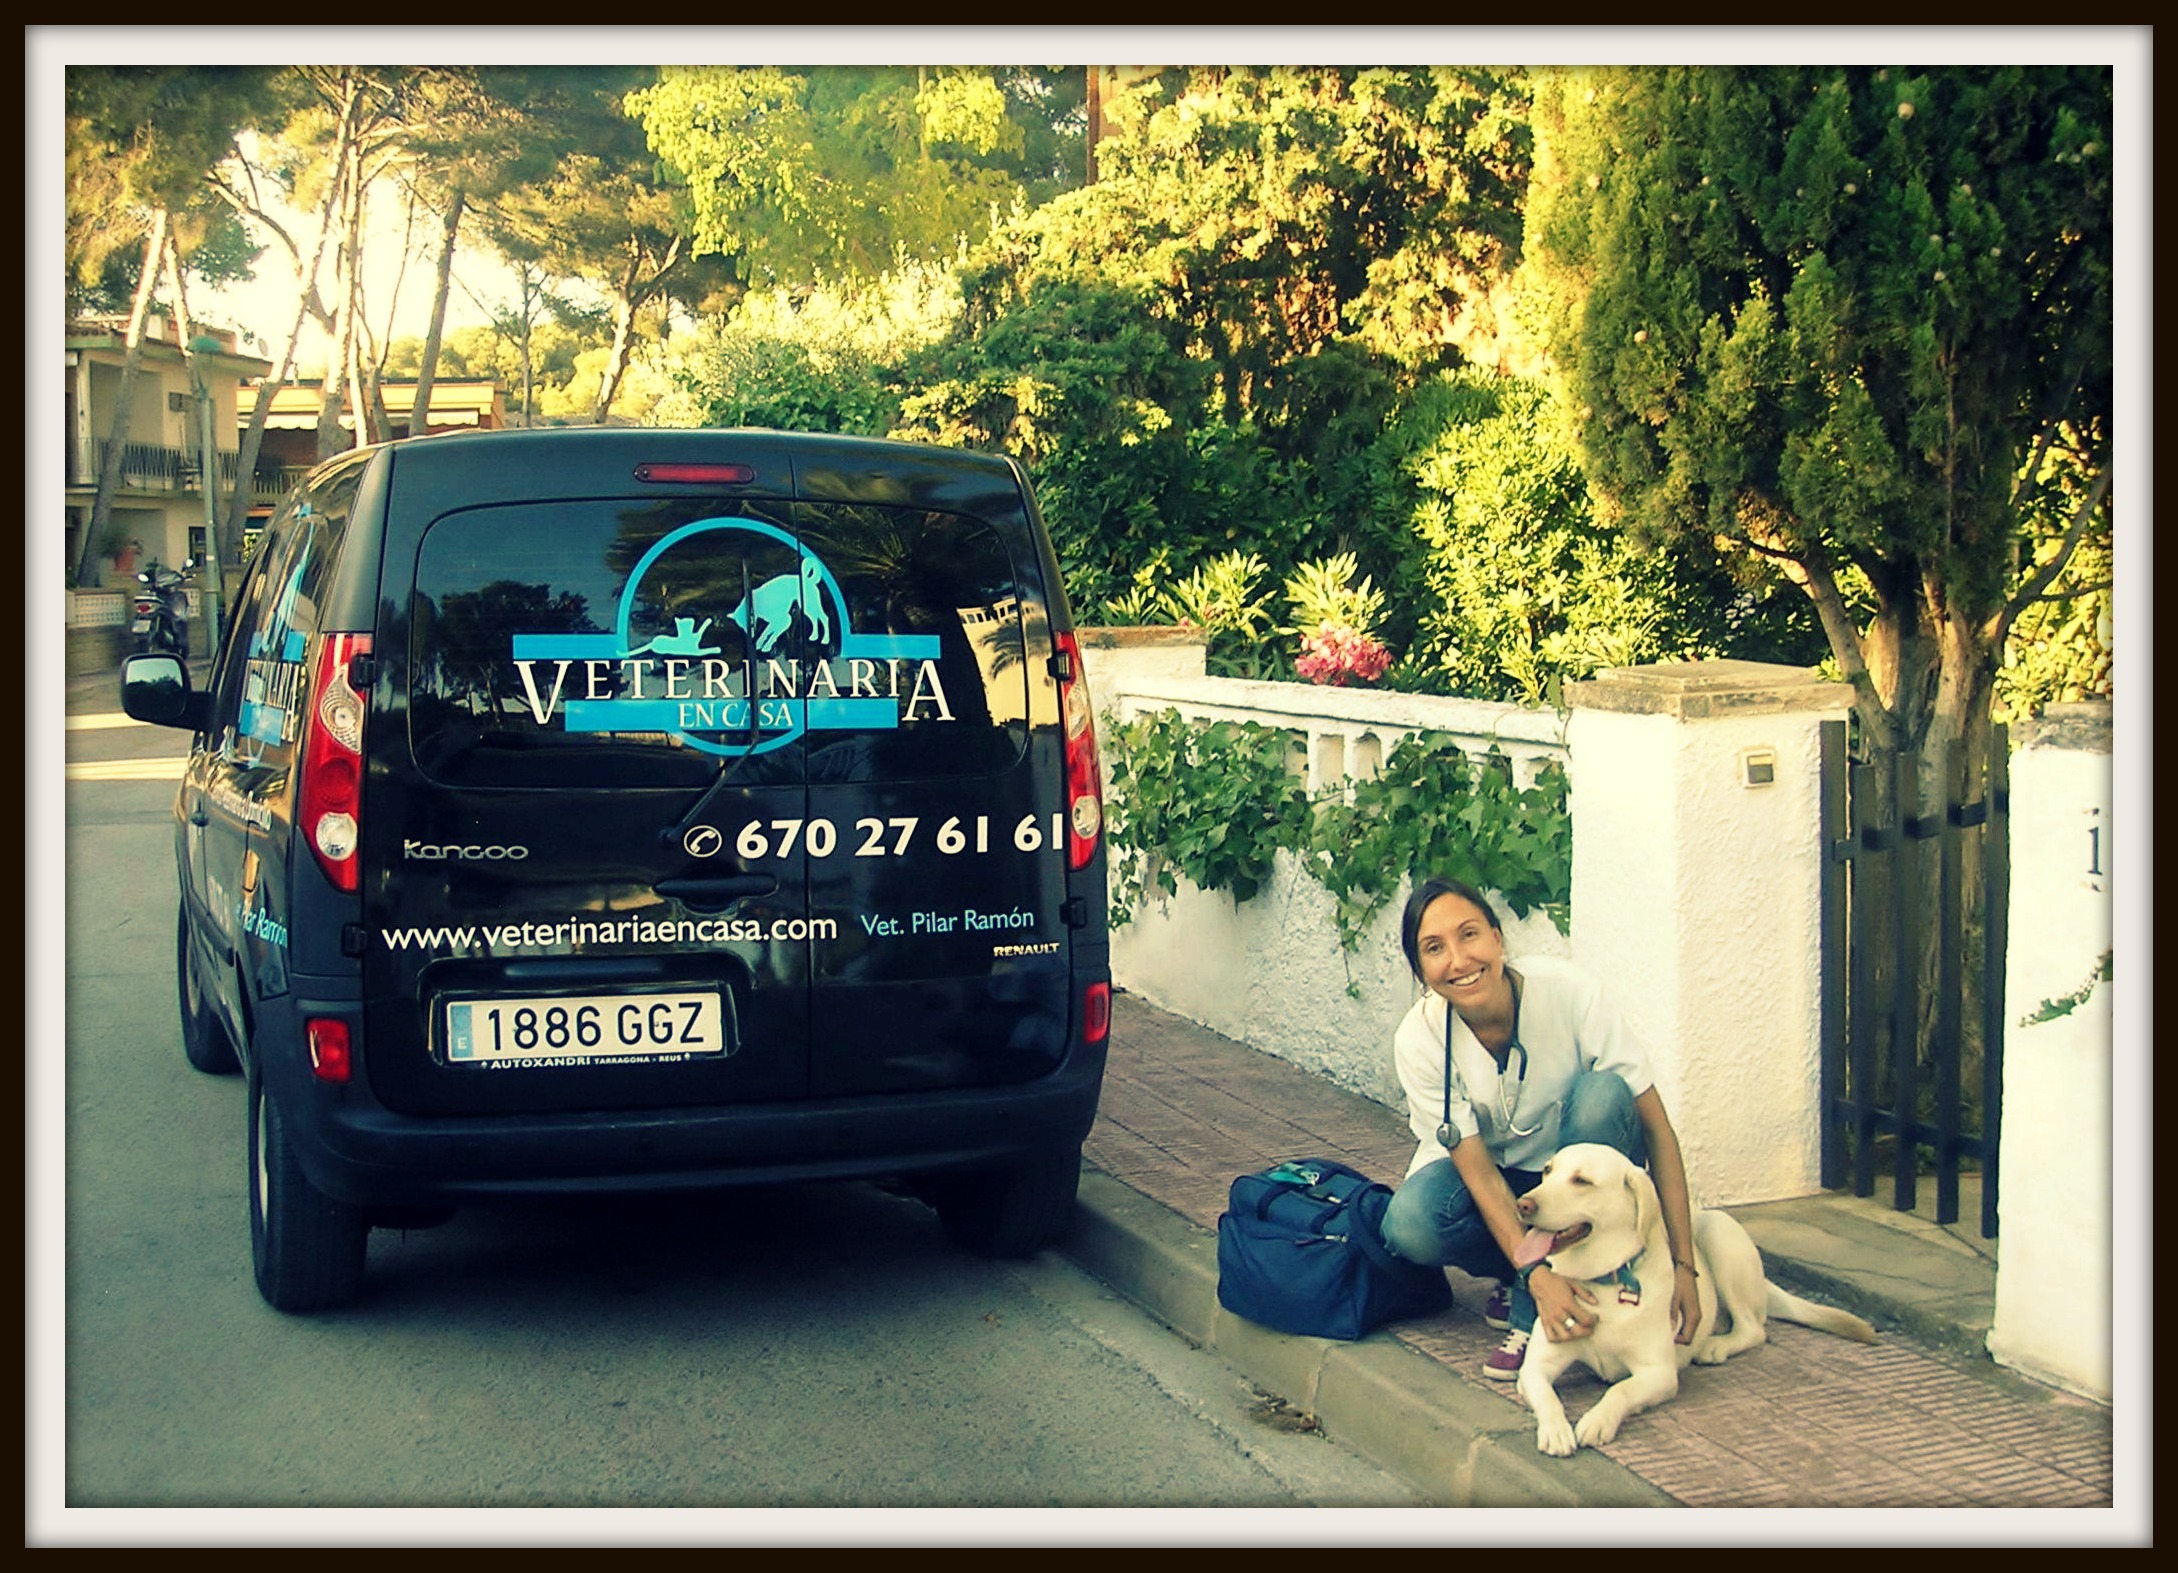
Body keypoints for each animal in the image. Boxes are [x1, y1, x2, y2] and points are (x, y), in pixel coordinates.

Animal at [1511, 1142, 1879, 1457]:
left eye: (1582, 1180)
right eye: (1547, 1171)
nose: (1523, 1204)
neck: (1603, 1279)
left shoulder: (1659, 1374)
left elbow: (1620, 1390)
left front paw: (1597, 1421)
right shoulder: (1536, 1366)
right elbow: (1547, 1395)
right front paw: (1556, 1430)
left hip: (1718, 1234)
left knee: (1754, 1328)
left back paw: (1715, 1346)